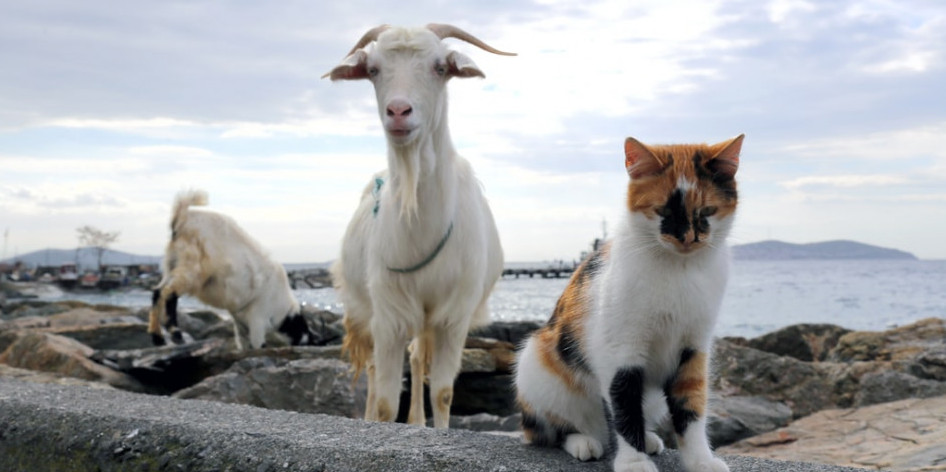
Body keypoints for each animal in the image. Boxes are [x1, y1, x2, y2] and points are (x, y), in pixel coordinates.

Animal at [148, 191, 316, 350]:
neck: (282, 307)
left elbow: (243, 344)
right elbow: (258, 344)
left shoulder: (240, 322)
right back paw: (175, 334)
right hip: (193, 268)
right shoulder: (258, 317)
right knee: (168, 293)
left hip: (172, 263)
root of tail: (181, 217)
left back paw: (158, 338)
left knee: (158, 292)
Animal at [328, 23, 512, 428]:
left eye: (440, 68)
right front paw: (380, 422)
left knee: (416, 357)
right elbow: (384, 399)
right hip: (364, 308)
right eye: (373, 70)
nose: (398, 112)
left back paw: (417, 422)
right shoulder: (388, 313)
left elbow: (443, 392)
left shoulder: (454, 317)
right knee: (371, 369)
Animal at [512, 134, 740, 472]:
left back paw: (648, 438)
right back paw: (583, 441)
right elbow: (624, 405)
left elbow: (691, 407)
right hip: (536, 363)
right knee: (550, 429)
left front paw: (700, 460)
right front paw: (634, 462)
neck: (679, 268)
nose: (688, 238)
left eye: (708, 211)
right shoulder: (620, 349)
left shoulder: (695, 346)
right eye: (662, 212)